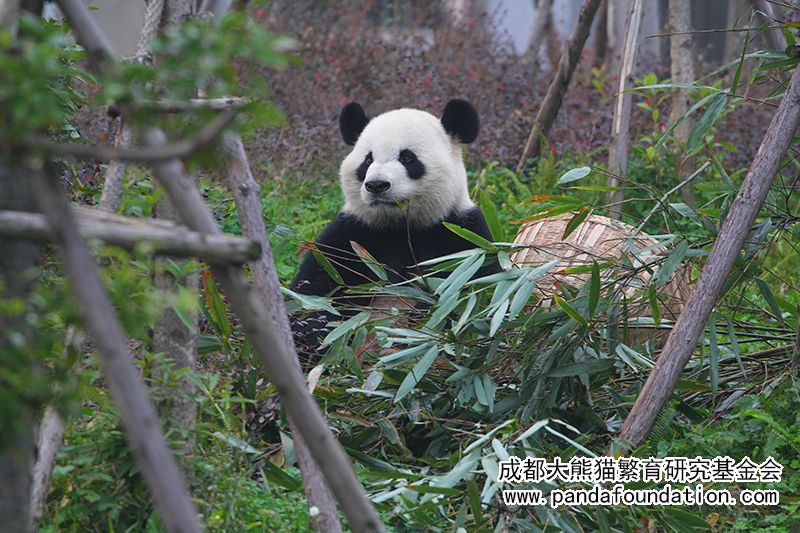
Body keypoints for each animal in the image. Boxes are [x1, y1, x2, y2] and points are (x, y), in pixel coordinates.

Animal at [291, 98, 500, 304]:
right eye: (368, 160)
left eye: (407, 158)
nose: (376, 185)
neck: (401, 228)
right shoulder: (353, 234)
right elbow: (317, 283)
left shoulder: (463, 237)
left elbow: (469, 288)